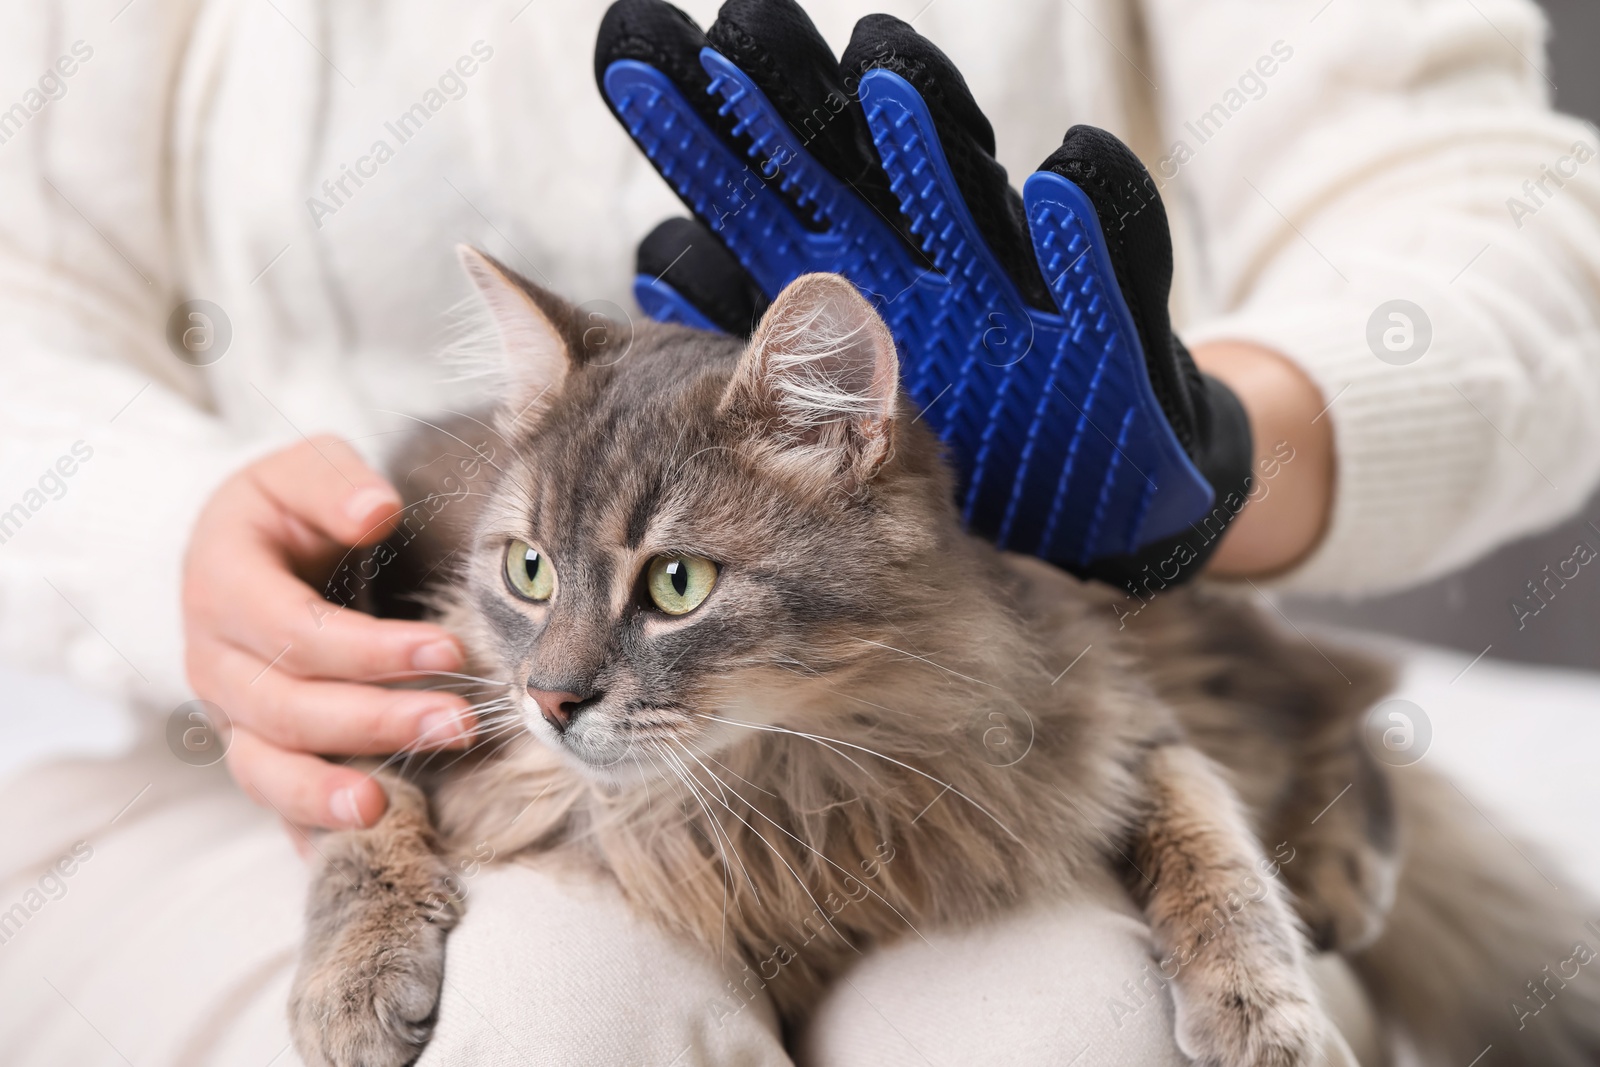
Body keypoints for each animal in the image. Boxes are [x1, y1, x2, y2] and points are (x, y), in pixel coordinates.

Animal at [284, 247, 1600, 1067]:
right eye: (527, 571)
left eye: (675, 584)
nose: (550, 698)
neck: (775, 776)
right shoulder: (385, 691)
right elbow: (362, 822)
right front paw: (349, 982)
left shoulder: (1101, 701)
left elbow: (1209, 835)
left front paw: (1257, 999)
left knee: (1333, 690)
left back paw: (1337, 863)